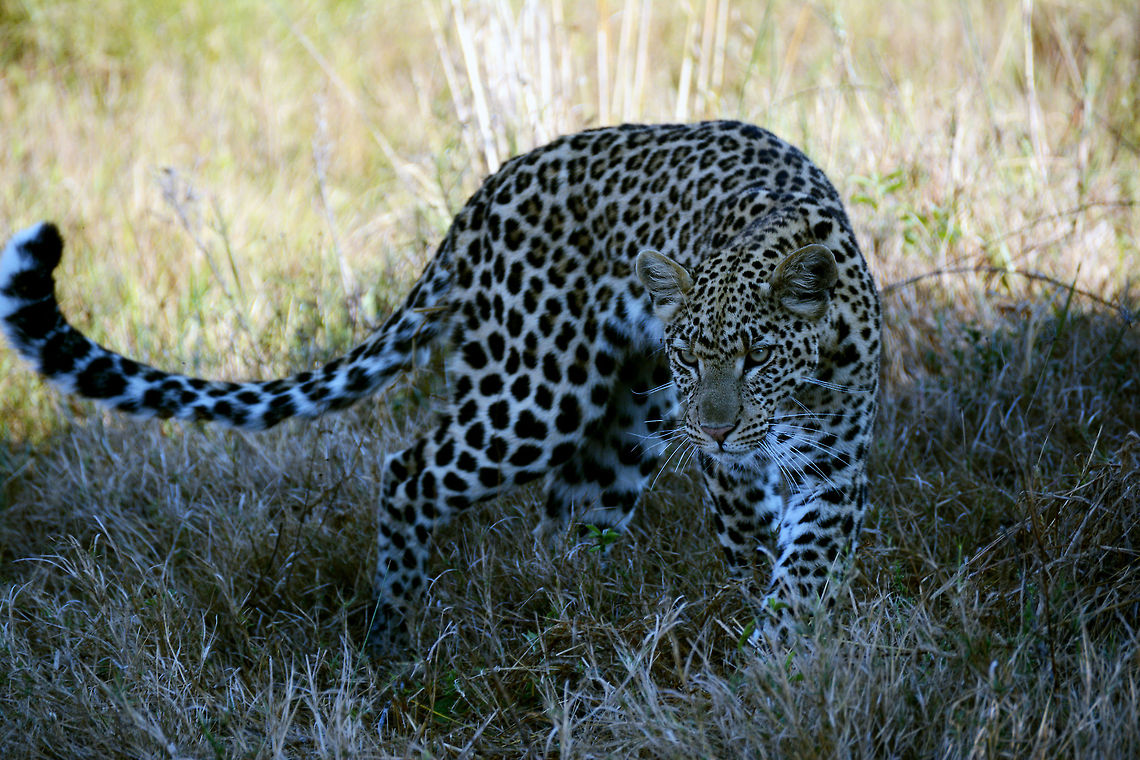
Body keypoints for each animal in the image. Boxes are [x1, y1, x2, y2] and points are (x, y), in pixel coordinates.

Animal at [1, 121, 881, 654]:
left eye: (756, 357)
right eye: (692, 356)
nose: (718, 428)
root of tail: (487, 191)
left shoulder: (830, 470)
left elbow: (805, 571)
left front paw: (784, 657)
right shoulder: (735, 472)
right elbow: (756, 551)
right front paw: (765, 655)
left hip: (622, 421)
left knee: (566, 525)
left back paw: (572, 620)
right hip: (533, 395)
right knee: (408, 471)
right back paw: (391, 632)